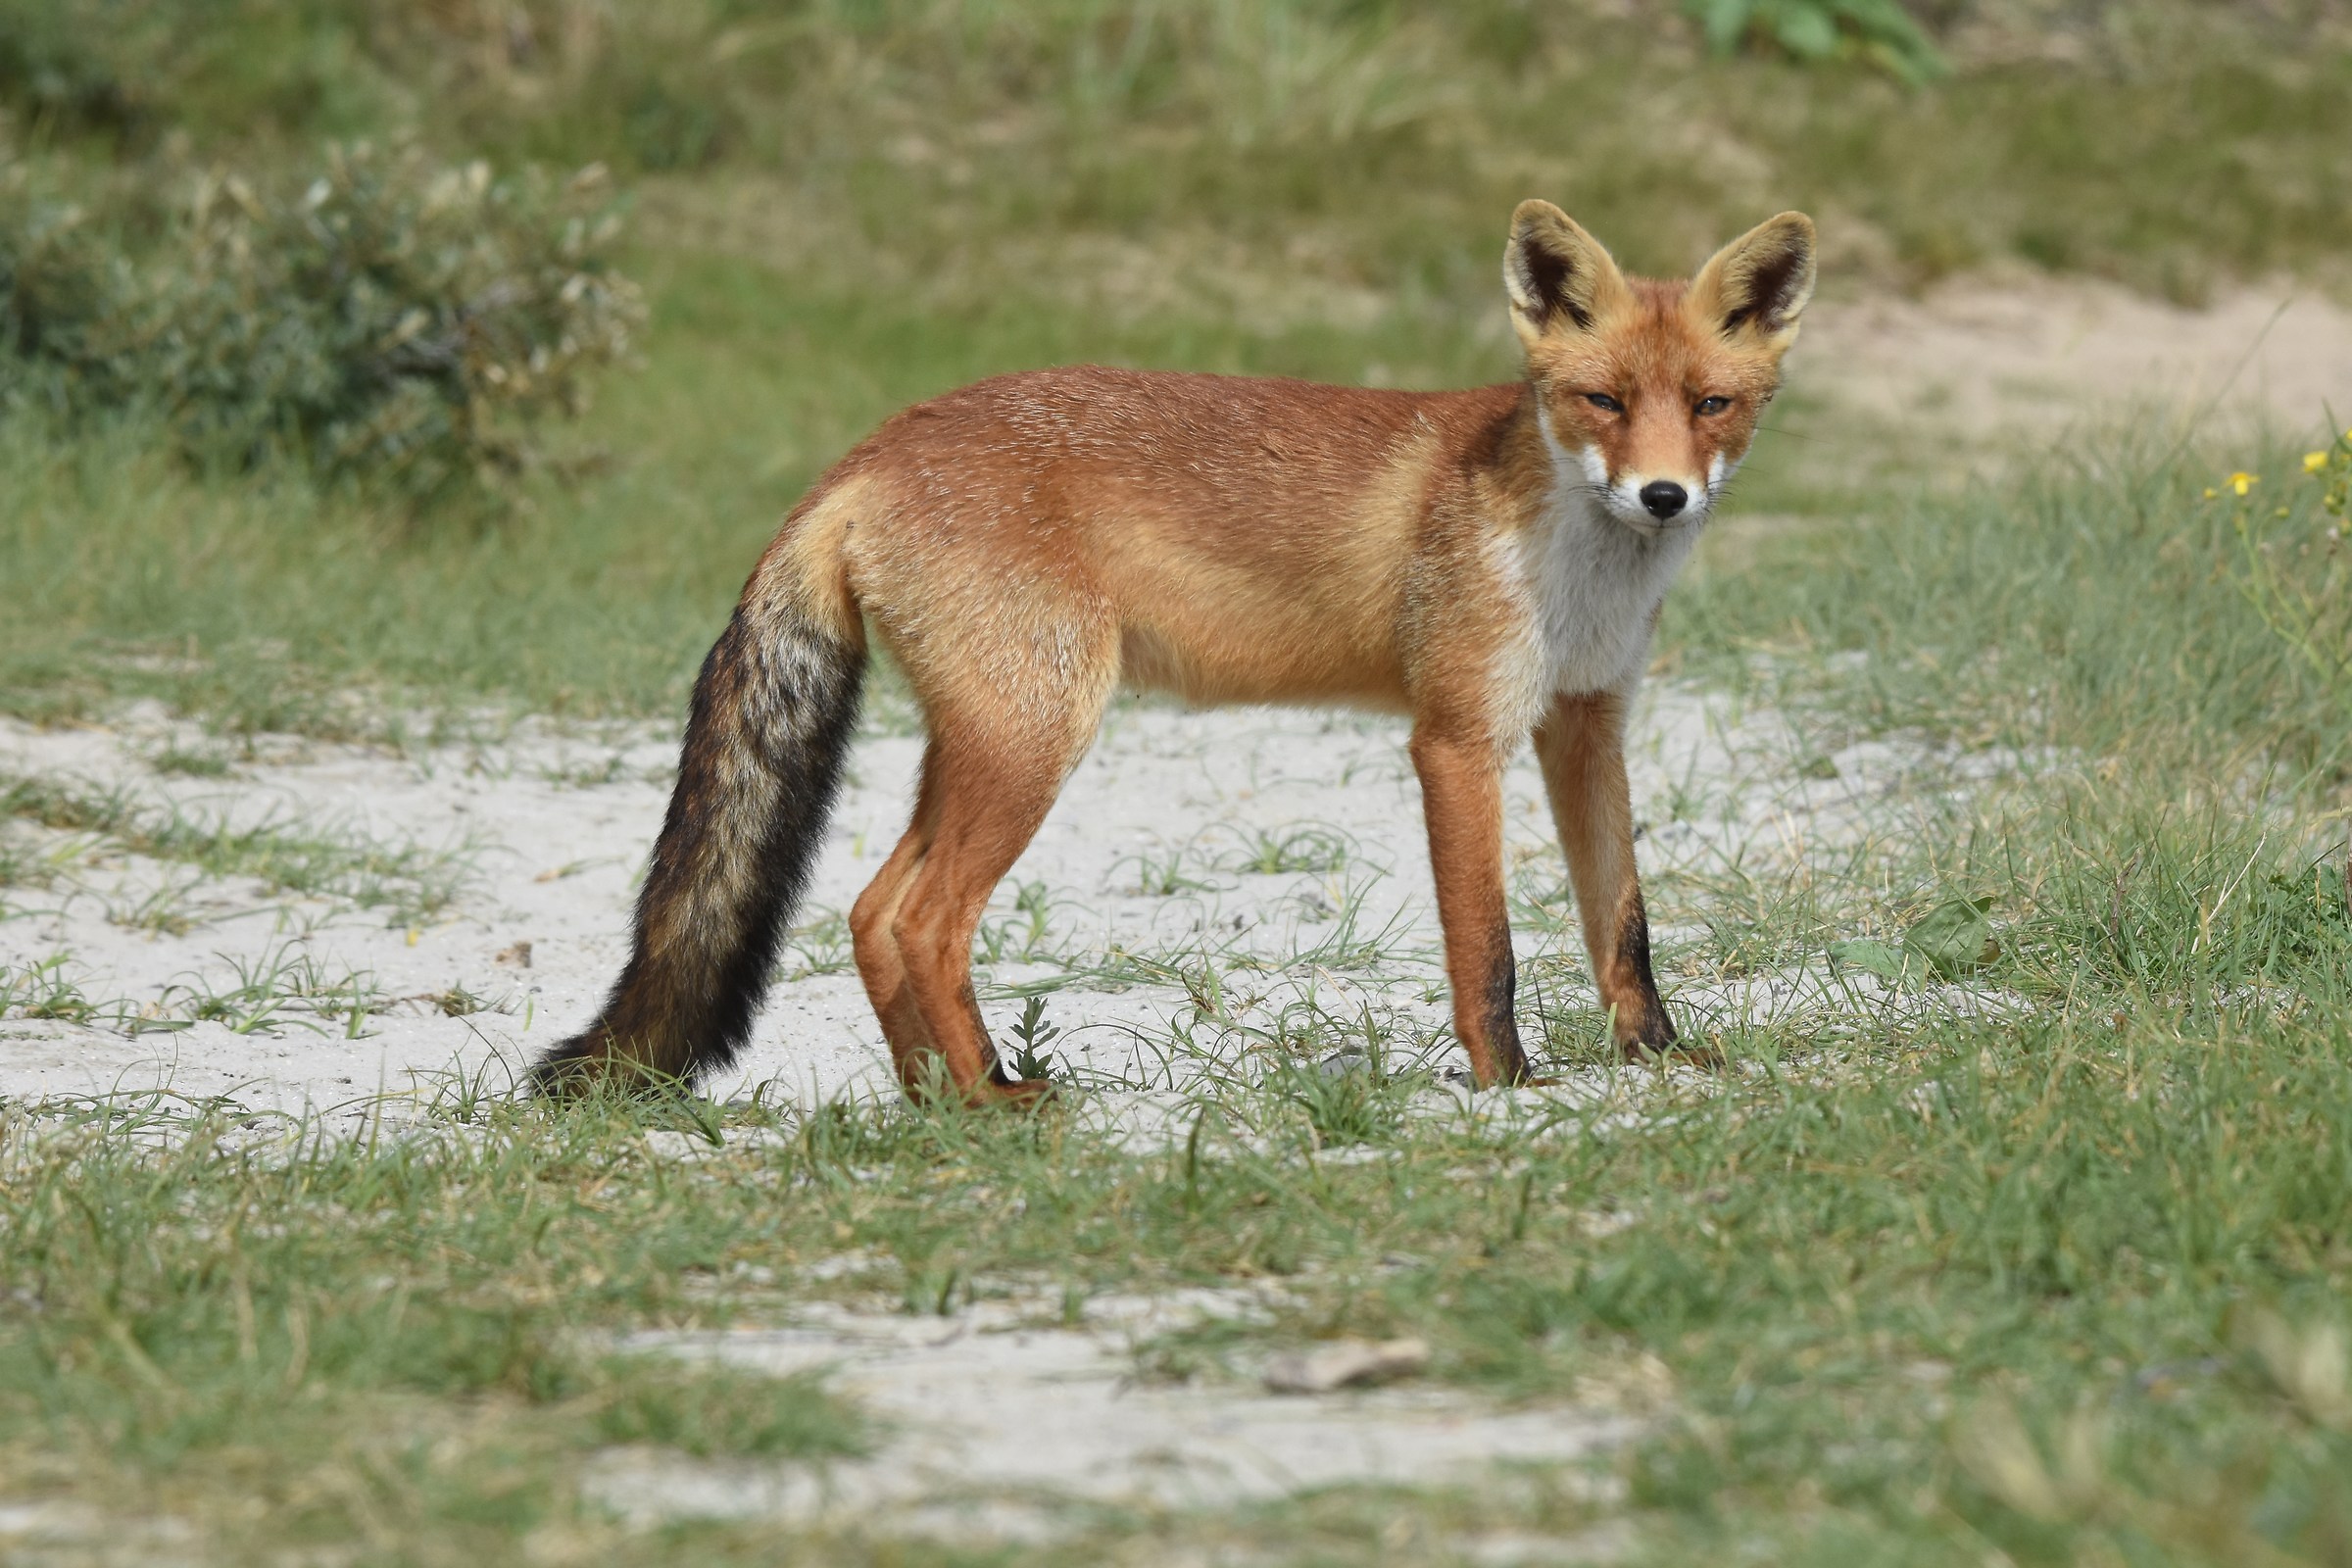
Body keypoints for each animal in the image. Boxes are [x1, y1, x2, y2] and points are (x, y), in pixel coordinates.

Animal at [538, 205, 1815, 1104]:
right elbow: (1487, 949)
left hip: (982, 741)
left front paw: (1658, 1060)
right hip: (1036, 739)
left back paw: (942, 1101)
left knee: (866, 908)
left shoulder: (1587, 723)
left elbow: (1624, 923)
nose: (1662, 496)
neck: (1571, 564)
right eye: (1603, 401)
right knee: (920, 920)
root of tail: (873, 445)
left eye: (1711, 405)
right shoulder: (1457, 737)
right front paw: (1509, 1088)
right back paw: (995, 1102)